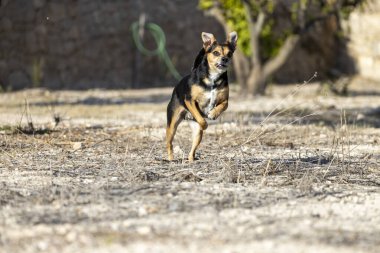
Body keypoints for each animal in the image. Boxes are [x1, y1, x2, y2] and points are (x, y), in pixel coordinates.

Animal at [166, 31, 238, 161]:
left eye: (229, 54)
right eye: (216, 53)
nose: (225, 59)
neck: (213, 78)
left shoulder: (225, 100)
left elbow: (222, 106)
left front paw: (213, 114)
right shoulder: (190, 100)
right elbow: (202, 120)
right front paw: (205, 123)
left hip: (197, 133)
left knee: (192, 150)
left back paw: (191, 160)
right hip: (172, 125)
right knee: (169, 143)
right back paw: (171, 159)